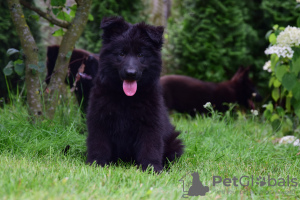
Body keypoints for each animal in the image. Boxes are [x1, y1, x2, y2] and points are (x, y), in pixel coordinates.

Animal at [85, 16, 184, 172]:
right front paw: (96, 163)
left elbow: (150, 147)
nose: (130, 73)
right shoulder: (99, 120)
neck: (126, 98)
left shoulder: (150, 123)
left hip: (174, 141)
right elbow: (98, 144)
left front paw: (152, 168)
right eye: (121, 53)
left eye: (140, 55)